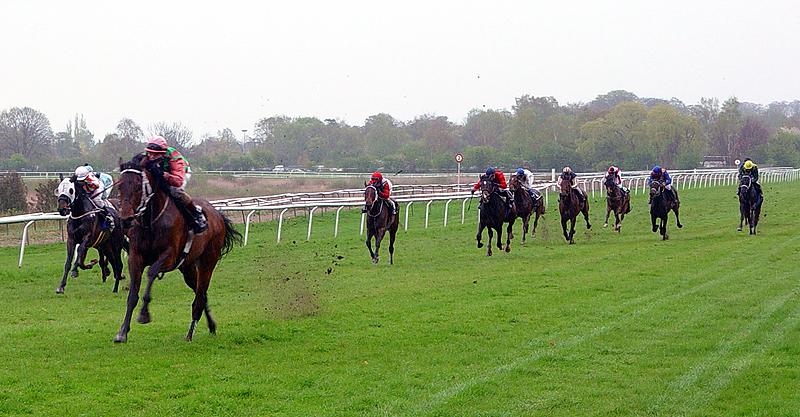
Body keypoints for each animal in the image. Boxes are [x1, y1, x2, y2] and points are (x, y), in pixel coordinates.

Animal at [113, 154, 242, 343]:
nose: (126, 219)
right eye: (120, 185)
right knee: (200, 293)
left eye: (137, 186)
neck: (151, 222)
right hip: (187, 267)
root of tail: (218, 215)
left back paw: (190, 333)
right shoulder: (135, 257)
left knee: (200, 295)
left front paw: (144, 314)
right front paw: (122, 332)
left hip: (208, 261)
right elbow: (132, 295)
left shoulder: (169, 256)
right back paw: (211, 325)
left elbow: (152, 272)